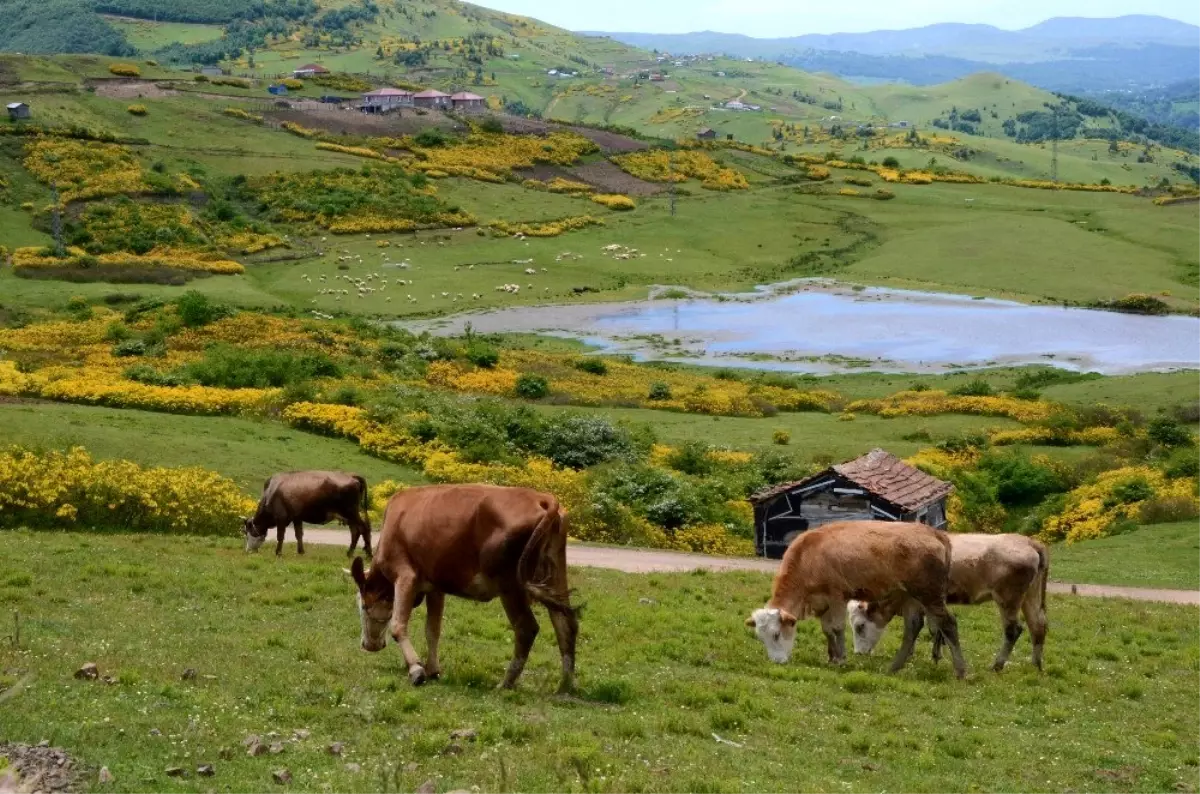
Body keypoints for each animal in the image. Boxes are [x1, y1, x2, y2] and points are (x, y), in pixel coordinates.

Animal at [345, 482, 578, 695]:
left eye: (363, 606)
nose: (367, 645)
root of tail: (542, 498)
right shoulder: (434, 586)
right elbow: (433, 629)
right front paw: (432, 669)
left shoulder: (405, 576)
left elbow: (398, 625)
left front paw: (416, 670)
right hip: (554, 575)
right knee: (565, 623)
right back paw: (564, 686)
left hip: (510, 585)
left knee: (526, 628)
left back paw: (505, 683)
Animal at [744, 520, 969, 681]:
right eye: (761, 637)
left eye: (776, 634)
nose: (776, 662)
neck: (809, 556)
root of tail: (934, 533)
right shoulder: (821, 602)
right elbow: (827, 630)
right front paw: (832, 657)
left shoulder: (837, 596)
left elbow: (836, 628)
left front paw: (842, 659)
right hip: (911, 597)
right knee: (913, 627)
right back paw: (894, 667)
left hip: (929, 595)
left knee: (948, 624)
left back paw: (960, 670)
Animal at [844, 534, 1051, 671]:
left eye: (860, 626)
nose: (858, 653)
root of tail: (1027, 541)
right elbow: (935, 629)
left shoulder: (920, 601)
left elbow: (928, 628)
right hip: (1030, 597)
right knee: (1038, 625)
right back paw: (1035, 664)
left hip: (1008, 598)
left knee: (1013, 630)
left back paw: (997, 665)